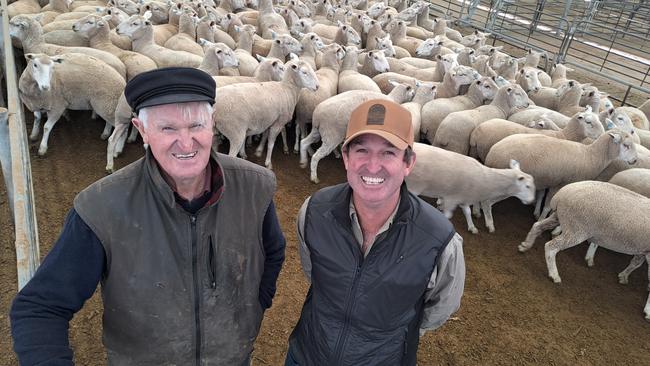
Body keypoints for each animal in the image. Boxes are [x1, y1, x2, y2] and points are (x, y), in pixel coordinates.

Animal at [408, 144, 536, 234]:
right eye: (527, 186)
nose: (531, 201)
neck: (485, 178)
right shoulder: (451, 198)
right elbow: (447, 216)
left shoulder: (464, 197)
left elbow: (468, 212)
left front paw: (472, 227)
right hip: (413, 186)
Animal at [470, 107, 604, 162]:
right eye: (588, 122)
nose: (602, 134)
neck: (564, 134)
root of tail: (476, 133)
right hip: (484, 151)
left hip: (475, 151)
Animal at [484, 129, 636, 220]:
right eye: (626, 145)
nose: (634, 160)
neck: (591, 156)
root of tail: (492, 152)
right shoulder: (559, 183)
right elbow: (548, 205)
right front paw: (541, 218)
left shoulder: (547, 180)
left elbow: (541, 197)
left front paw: (537, 213)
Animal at [516, 180, 648, 320]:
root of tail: (561, 194)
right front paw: (648, 311)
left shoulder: (643, 250)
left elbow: (636, 263)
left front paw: (624, 276)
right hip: (577, 229)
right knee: (551, 246)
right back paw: (554, 274)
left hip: (560, 217)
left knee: (537, 226)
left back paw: (525, 245)